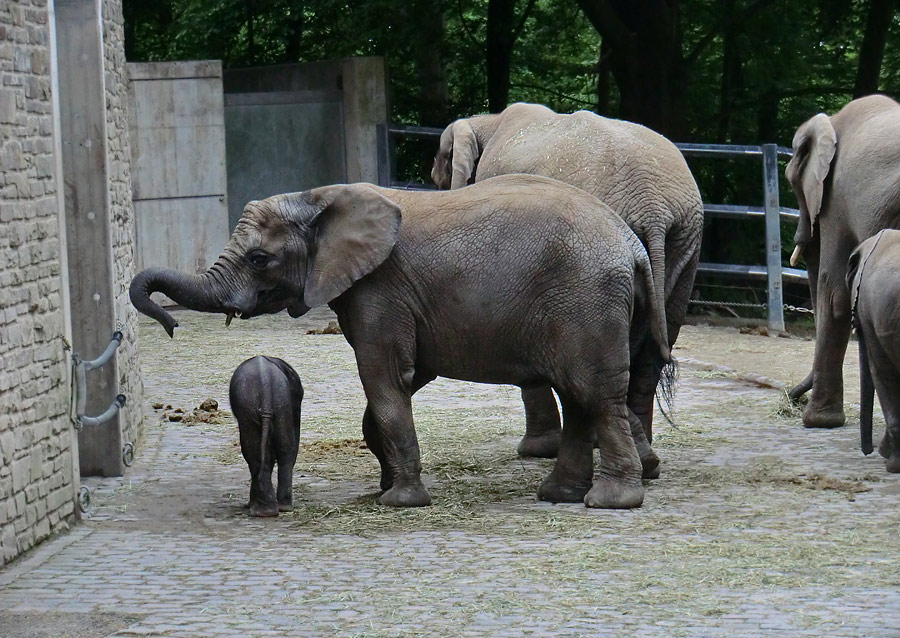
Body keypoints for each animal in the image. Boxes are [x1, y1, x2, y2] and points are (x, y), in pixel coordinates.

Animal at [230, 358, 304, 516]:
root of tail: (265, 381)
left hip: (260, 405)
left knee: (259, 451)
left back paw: (268, 510)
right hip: (276, 402)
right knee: (281, 449)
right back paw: (275, 509)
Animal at [428, 102, 704, 468]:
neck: (486, 121)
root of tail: (653, 211)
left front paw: (537, 451)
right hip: (686, 241)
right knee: (651, 351)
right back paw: (642, 453)